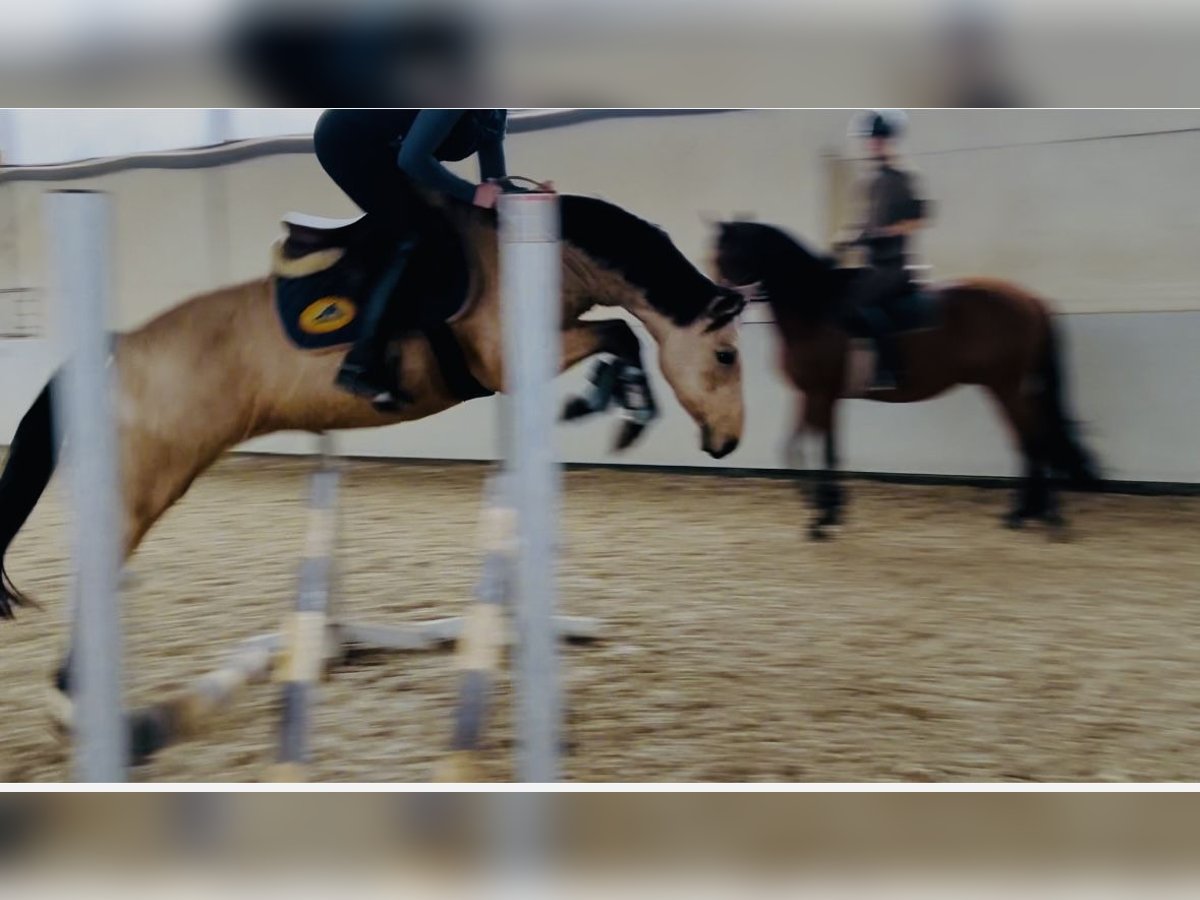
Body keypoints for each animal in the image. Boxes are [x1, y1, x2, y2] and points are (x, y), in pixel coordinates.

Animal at [0, 190, 744, 763]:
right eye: (727, 355)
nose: (726, 443)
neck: (546, 255)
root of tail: (121, 343)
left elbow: (618, 333)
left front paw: (609, 401)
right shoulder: (509, 359)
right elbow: (621, 333)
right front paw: (619, 406)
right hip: (154, 473)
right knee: (98, 562)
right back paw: (74, 707)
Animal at [710, 220, 1099, 540]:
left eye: (729, 256)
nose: (720, 307)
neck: (814, 307)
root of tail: (1031, 300)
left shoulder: (820, 392)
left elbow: (817, 447)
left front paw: (821, 516)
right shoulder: (816, 394)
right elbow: (807, 446)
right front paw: (827, 509)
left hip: (1006, 386)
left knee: (1036, 439)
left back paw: (1046, 518)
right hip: (1006, 386)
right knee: (1031, 439)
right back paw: (1024, 514)